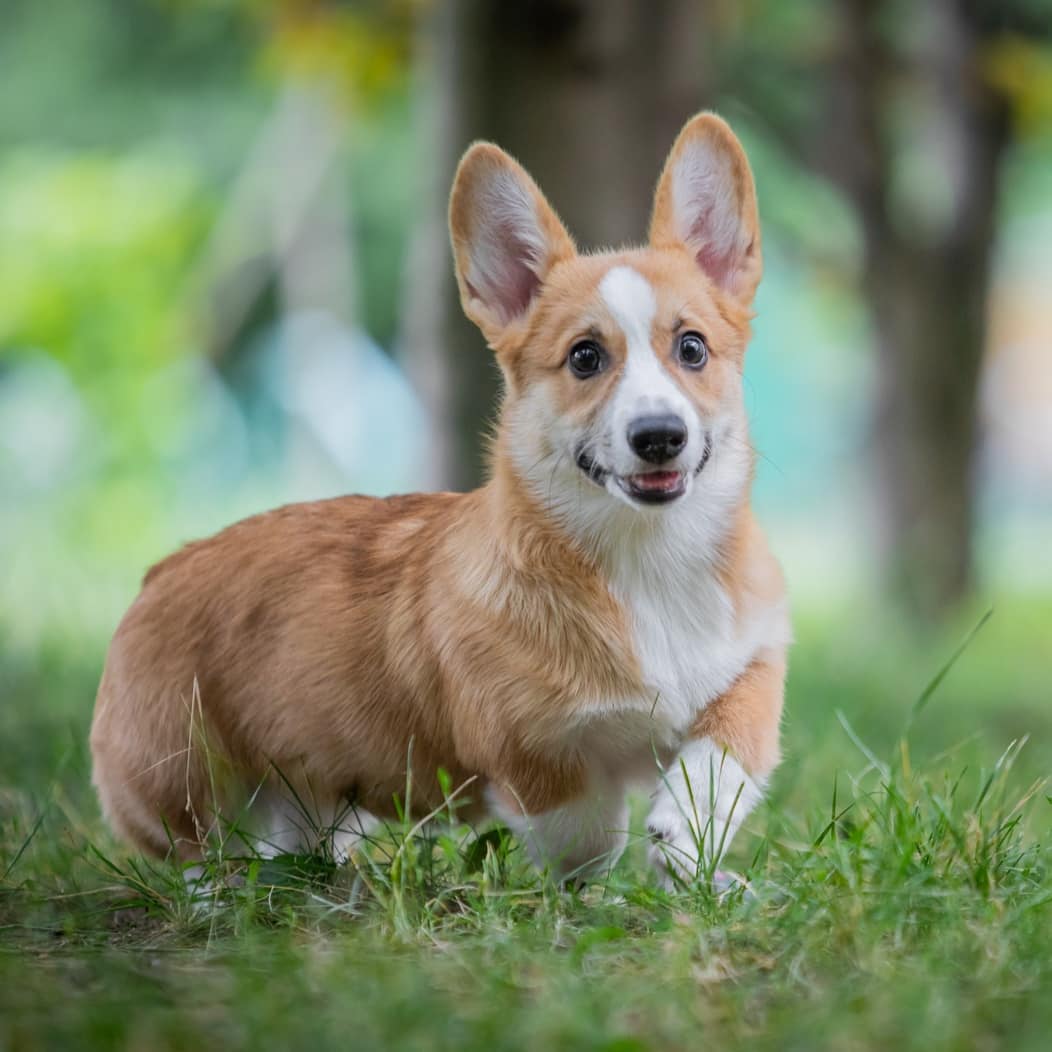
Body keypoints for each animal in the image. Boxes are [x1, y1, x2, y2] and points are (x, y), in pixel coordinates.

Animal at [90, 113, 791, 887]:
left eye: (692, 348)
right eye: (585, 357)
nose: (660, 436)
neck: (645, 558)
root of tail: (161, 571)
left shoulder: (754, 667)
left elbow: (723, 758)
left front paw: (687, 848)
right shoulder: (526, 746)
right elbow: (586, 828)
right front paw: (604, 882)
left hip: (303, 790)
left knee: (292, 838)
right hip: (179, 778)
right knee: (196, 850)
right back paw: (220, 891)